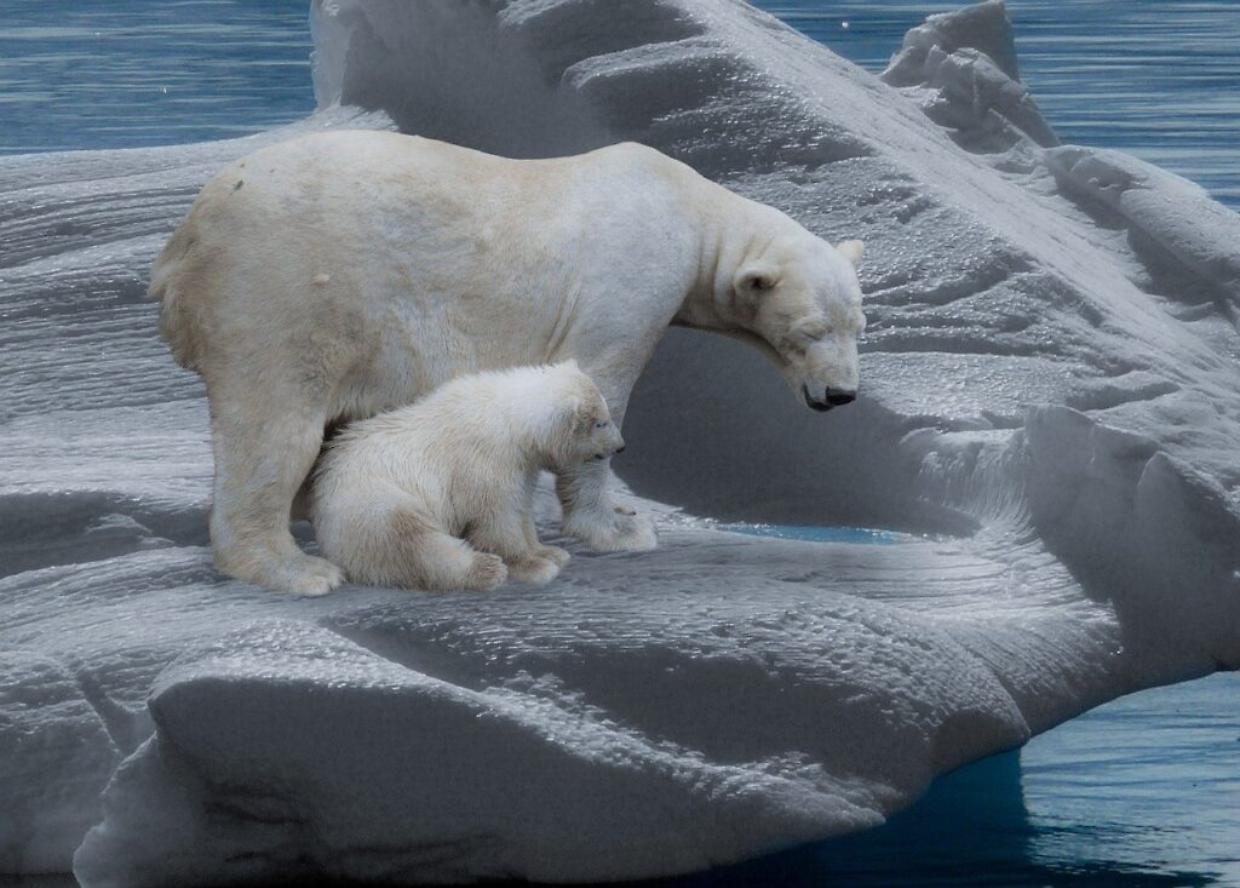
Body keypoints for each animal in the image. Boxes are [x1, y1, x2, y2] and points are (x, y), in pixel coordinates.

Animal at [310, 362, 624, 593]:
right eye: (601, 422)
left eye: (606, 413)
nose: (621, 446)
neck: (508, 420)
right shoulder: (485, 462)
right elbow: (496, 520)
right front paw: (534, 566)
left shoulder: (520, 466)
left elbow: (521, 508)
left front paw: (550, 552)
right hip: (374, 501)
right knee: (415, 541)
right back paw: (486, 569)